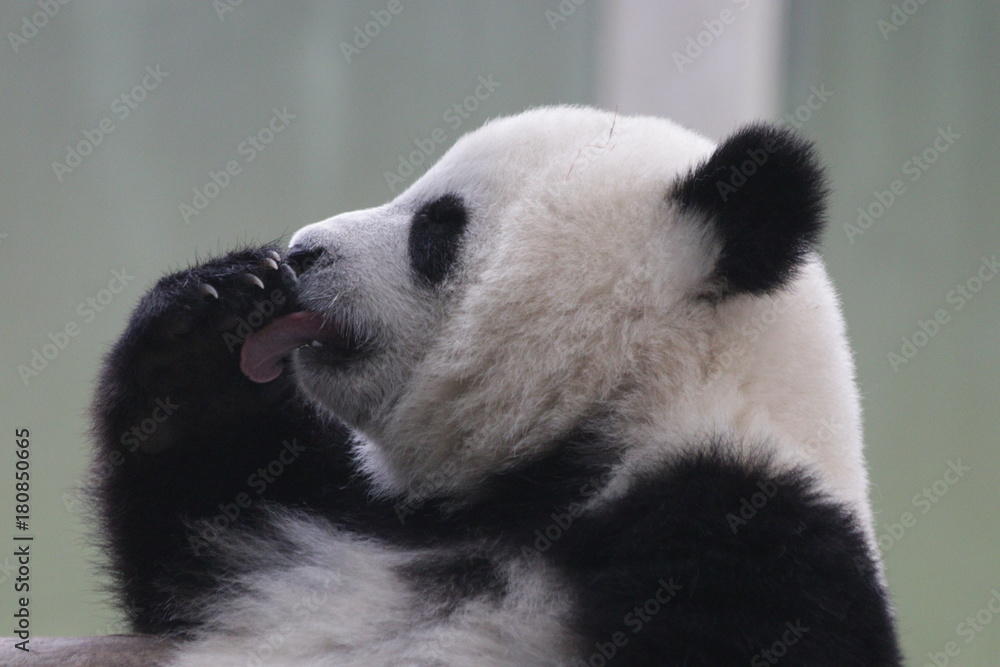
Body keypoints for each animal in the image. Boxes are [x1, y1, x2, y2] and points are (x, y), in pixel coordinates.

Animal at [91, 106, 902, 665]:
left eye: (437, 226)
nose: (301, 252)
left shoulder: (749, 542)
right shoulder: (340, 521)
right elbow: (195, 522)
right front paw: (209, 318)